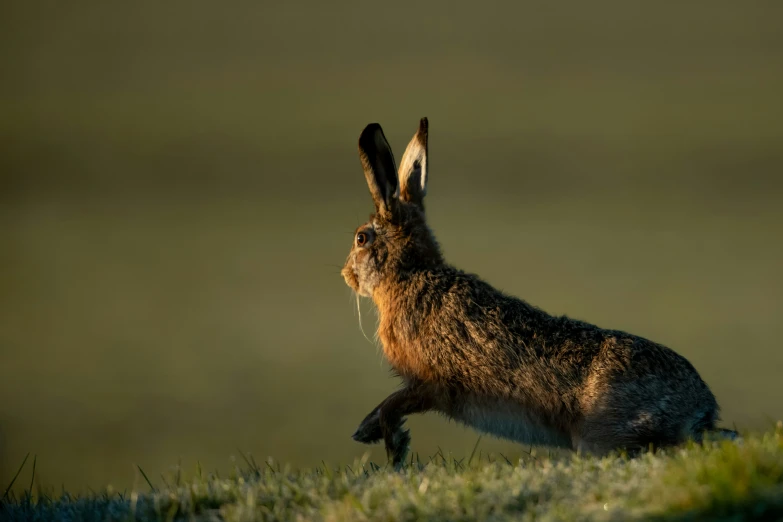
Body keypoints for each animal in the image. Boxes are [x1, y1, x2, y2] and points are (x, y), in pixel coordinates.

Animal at [340, 117, 740, 464]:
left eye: (361, 238)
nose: (345, 274)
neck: (410, 275)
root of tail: (700, 406)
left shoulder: (432, 384)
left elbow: (393, 404)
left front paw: (390, 445)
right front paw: (368, 434)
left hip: (601, 434)